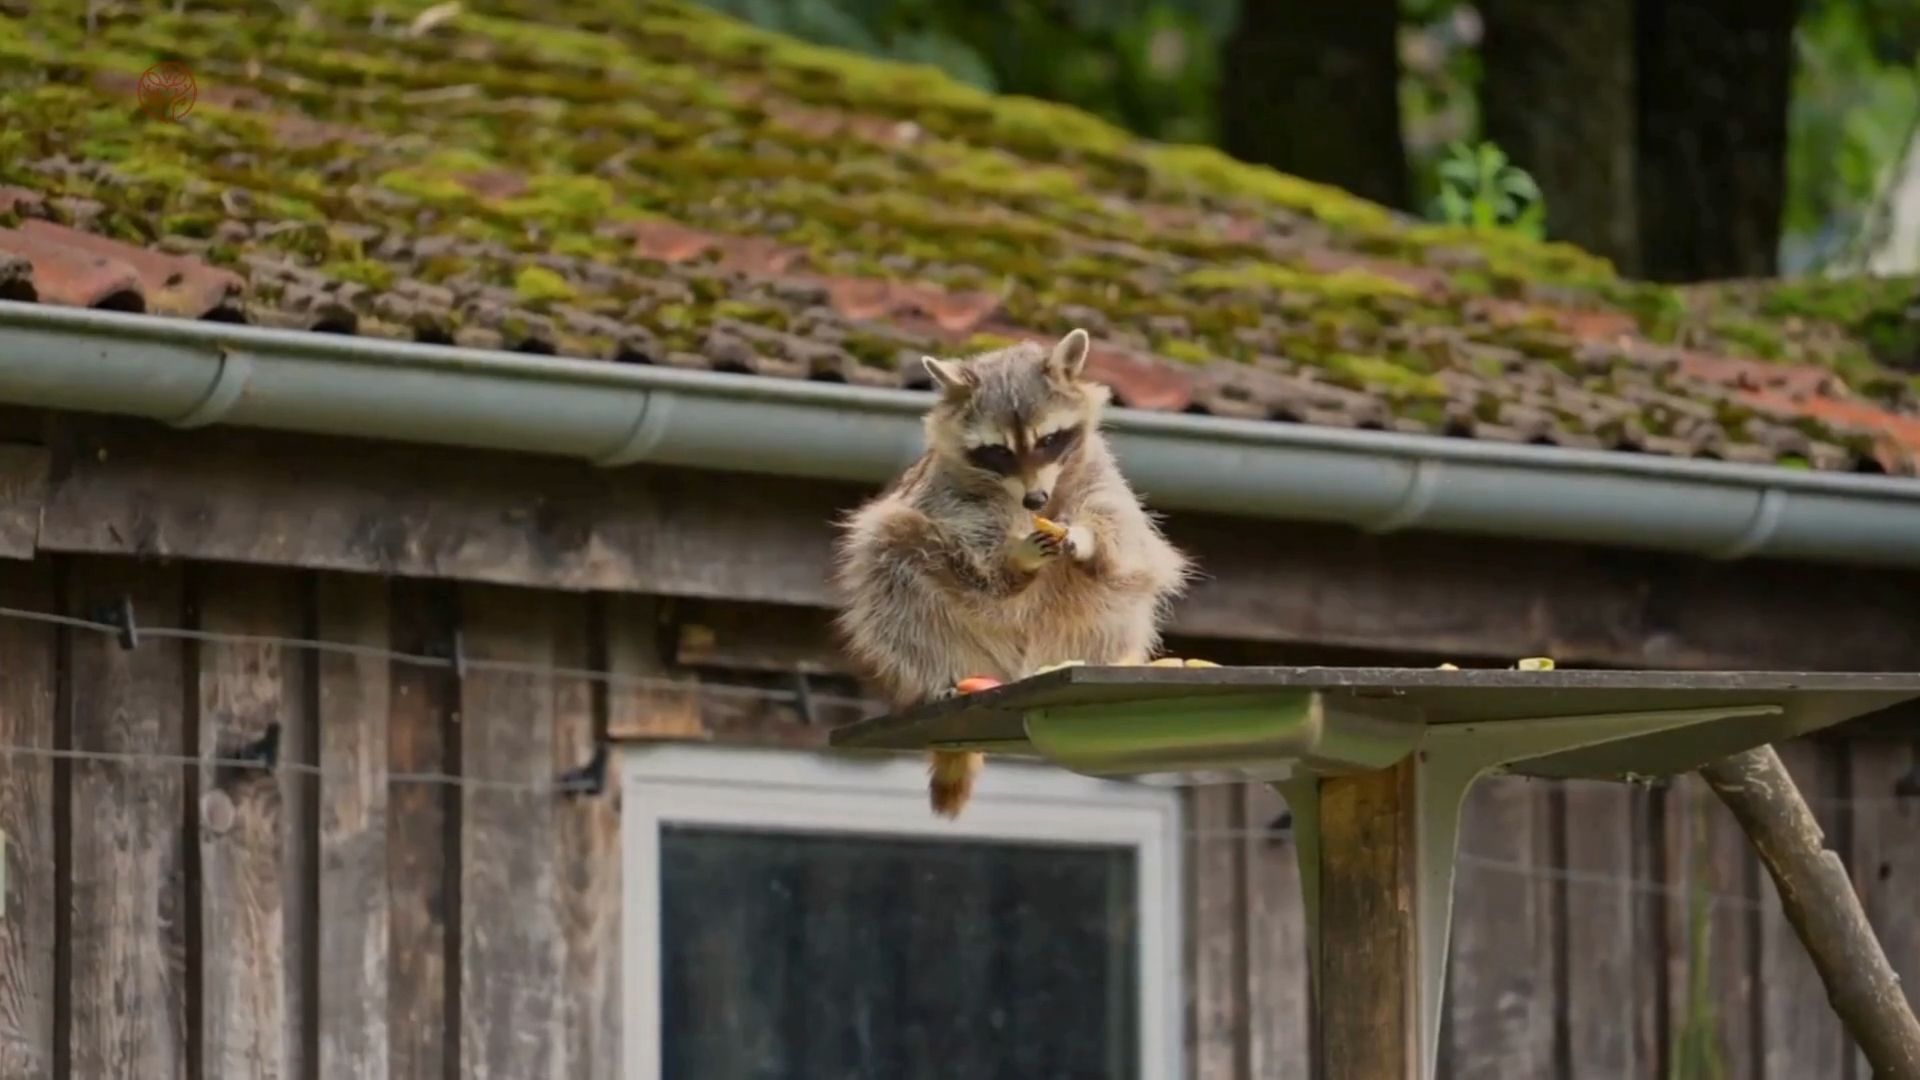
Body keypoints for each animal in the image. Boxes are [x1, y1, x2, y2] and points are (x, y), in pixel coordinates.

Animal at [831, 328, 1194, 818]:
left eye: (1048, 440)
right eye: (997, 451)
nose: (1035, 500)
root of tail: (1015, 668)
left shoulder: (1097, 473)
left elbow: (1119, 525)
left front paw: (1087, 537)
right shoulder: (948, 496)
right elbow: (970, 544)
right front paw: (1015, 558)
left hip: (1087, 624)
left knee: (1117, 602)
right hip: (911, 591)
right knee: (893, 579)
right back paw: (939, 676)